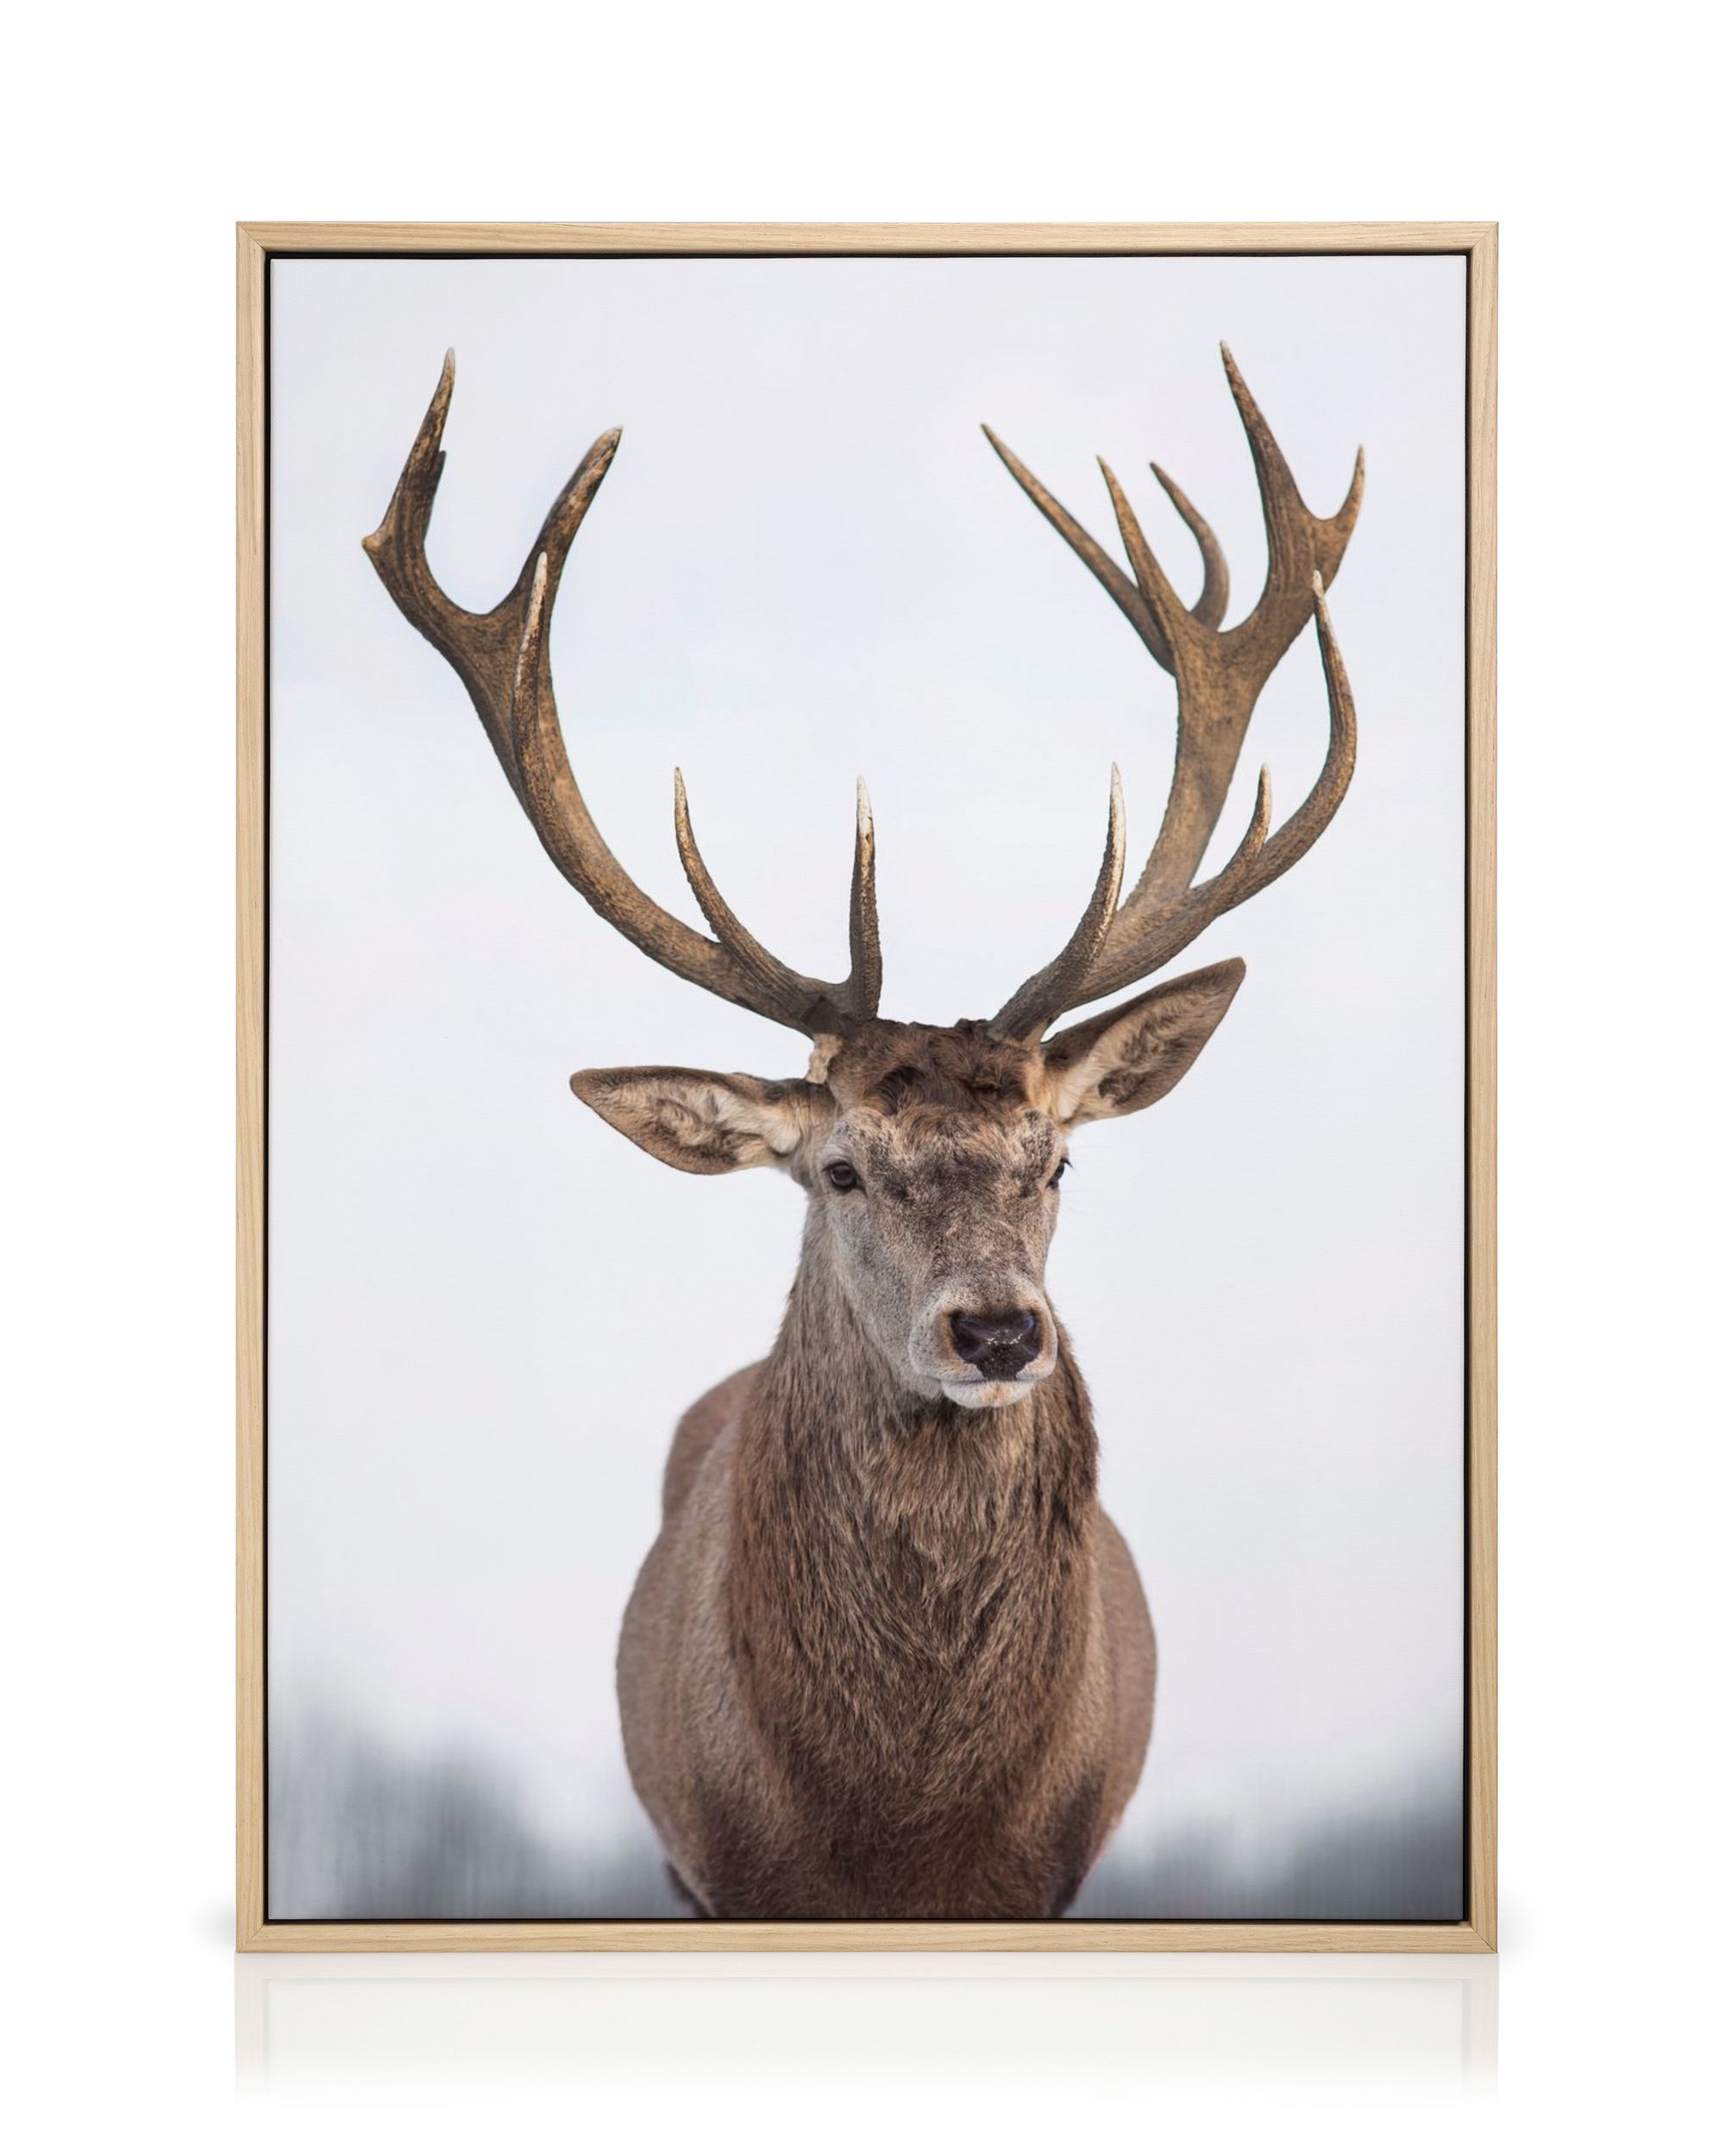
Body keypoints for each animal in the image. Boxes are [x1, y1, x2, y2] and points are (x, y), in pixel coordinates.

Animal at [364, 346, 1363, 1921]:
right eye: (838, 1168)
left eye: (1058, 1161)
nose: (999, 1332)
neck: (899, 1833)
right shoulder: (725, 1867)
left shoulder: (1051, 1873)